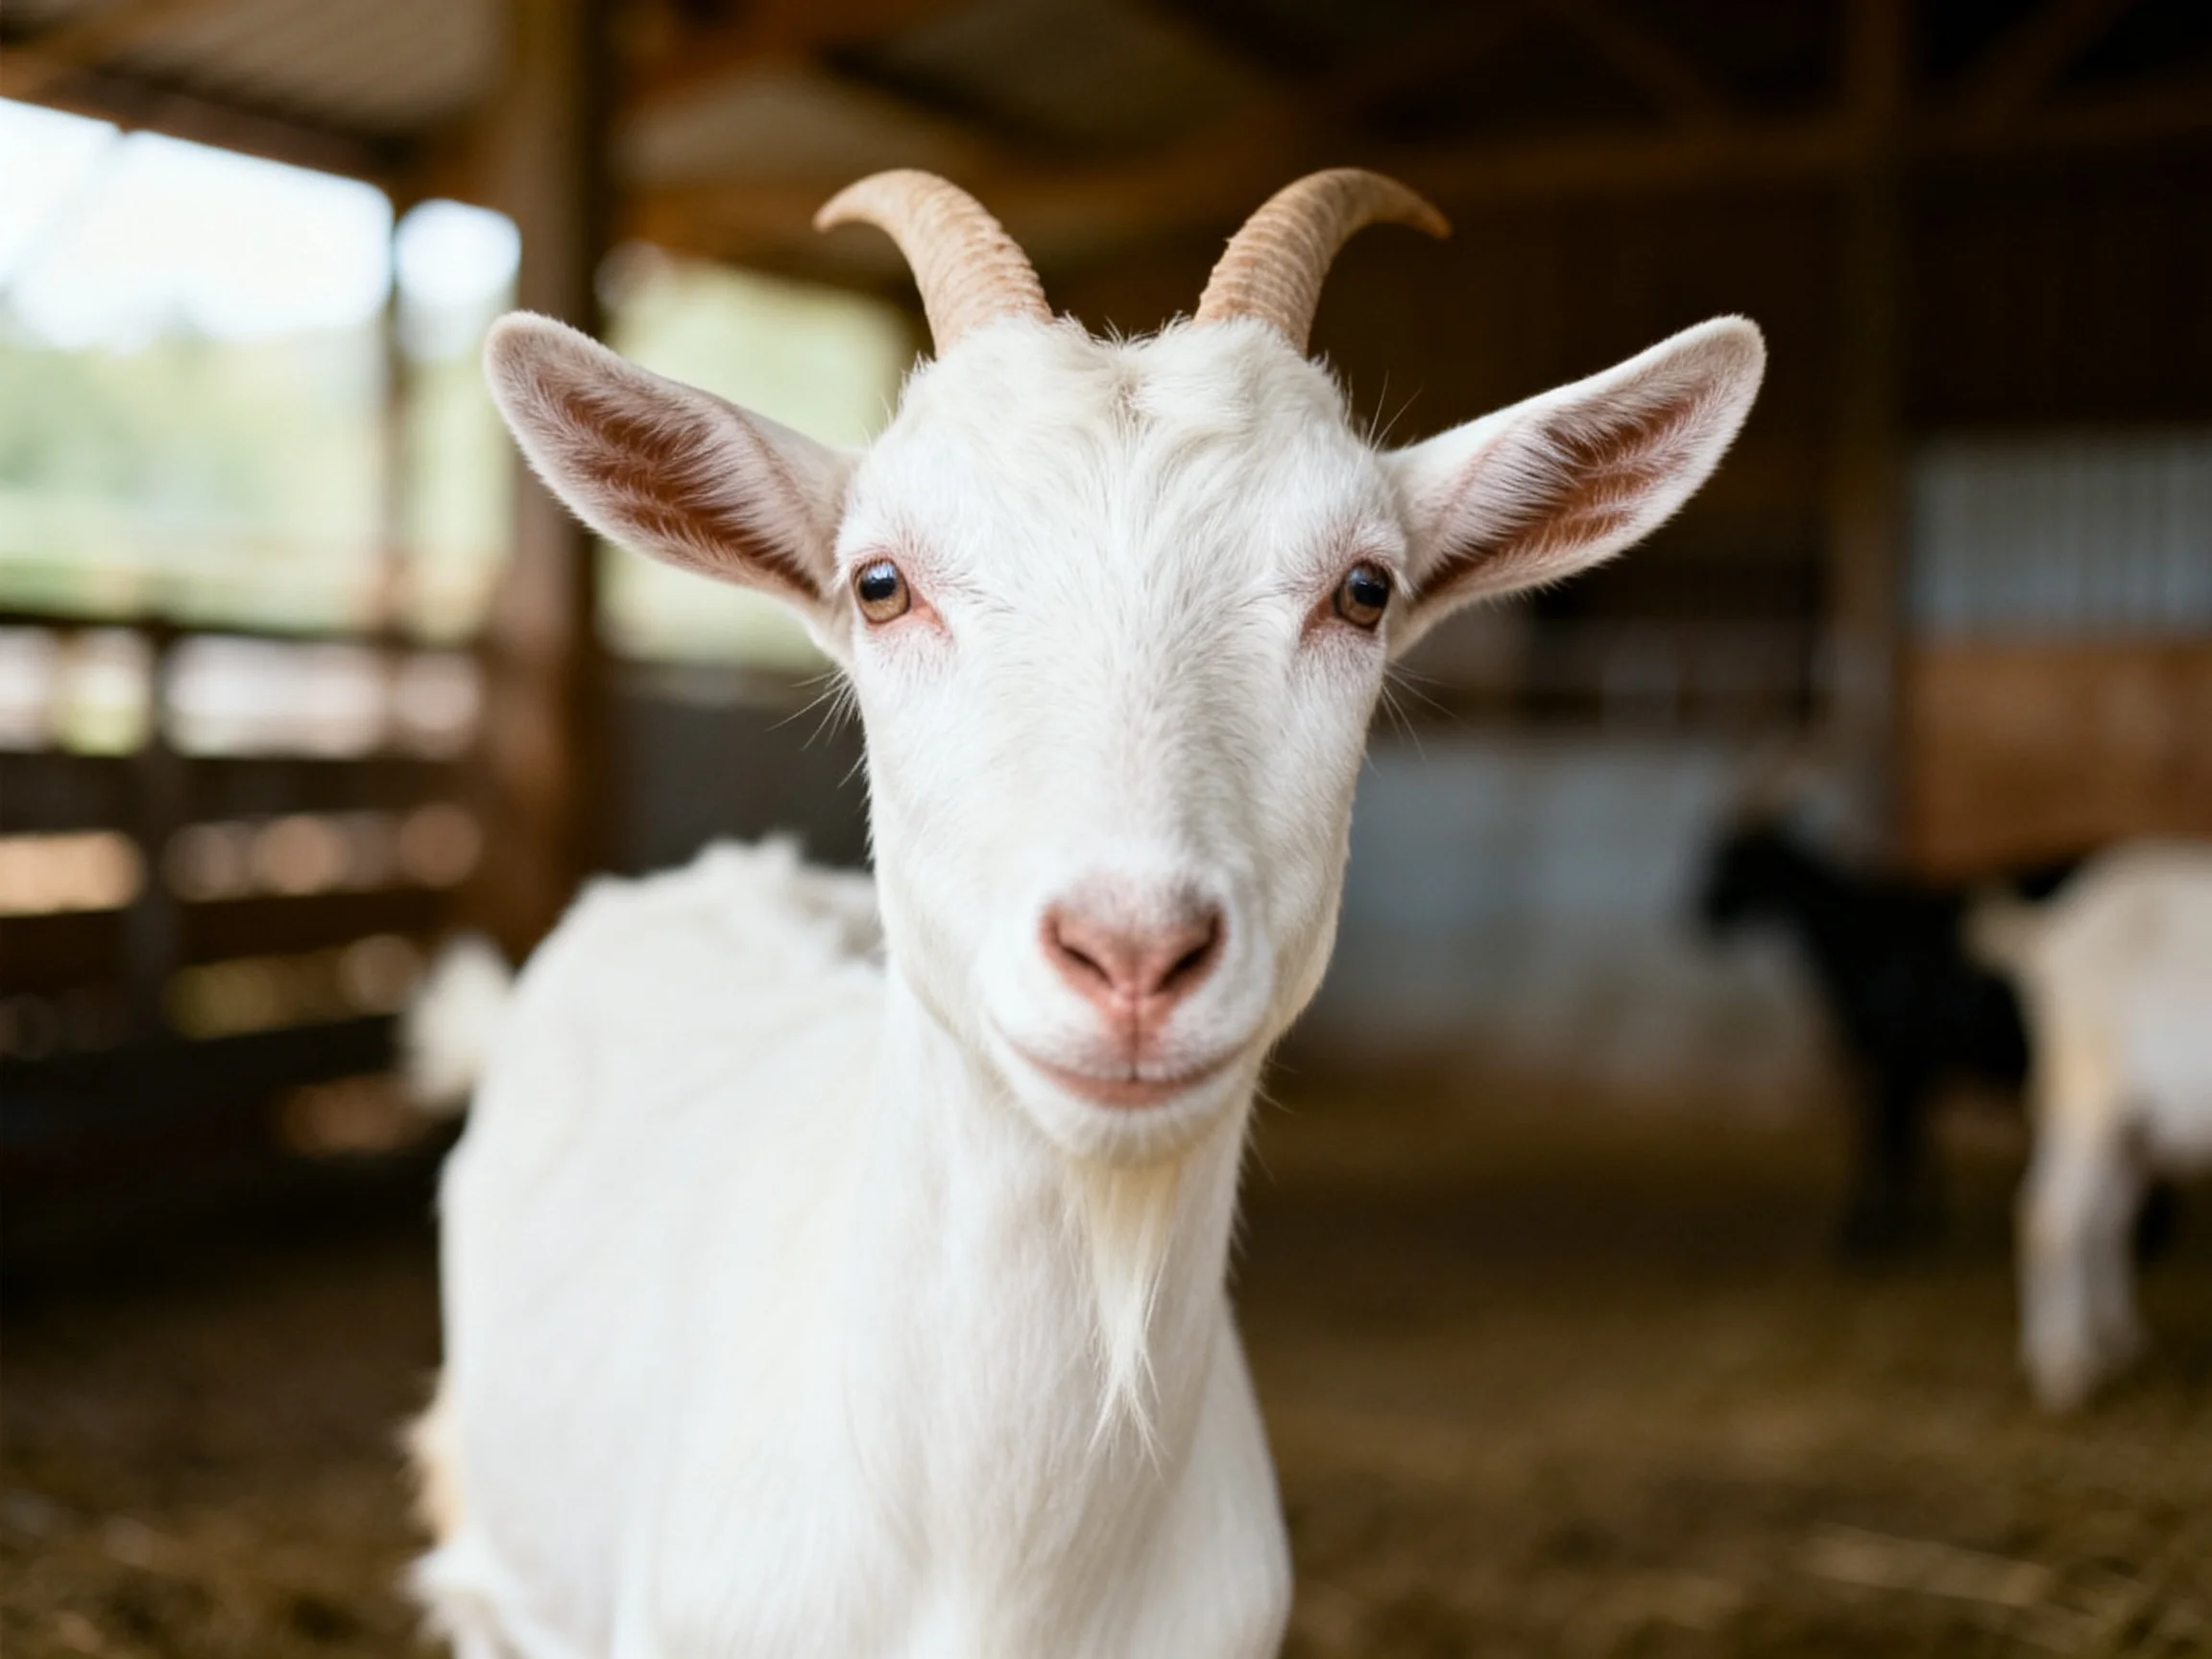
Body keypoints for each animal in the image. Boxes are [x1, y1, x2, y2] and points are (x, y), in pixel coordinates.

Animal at [1697, 816, 2073, 1254]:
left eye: (1741, 860)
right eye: (1721, 854)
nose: (1706, 912)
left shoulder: (1892, 1060)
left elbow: (1883, 1142)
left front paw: (1864, 1229)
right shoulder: (1908, 1066)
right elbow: (1905, 1141)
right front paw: (1916, 1221)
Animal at [1972, 840, 2212, 1411]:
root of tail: (2055, 933)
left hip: (2130, 1126)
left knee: (2105, 1219)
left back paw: (2115, 1342)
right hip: (2084, 1094)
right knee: (2050, 1215)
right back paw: (2063, 1370)